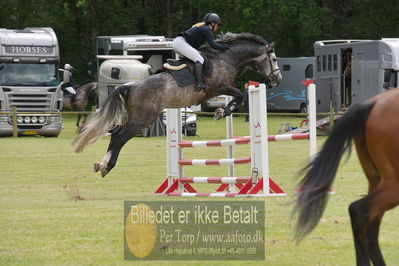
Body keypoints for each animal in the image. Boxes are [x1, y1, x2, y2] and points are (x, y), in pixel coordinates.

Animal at [74, 33, 282, 179]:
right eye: (273, 59)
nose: (277, 80)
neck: (226, 58)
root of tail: (131, 86)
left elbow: (237, 97)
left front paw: (221, 110)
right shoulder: (219, 87)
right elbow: (239, 96)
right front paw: (223, 111)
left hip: (135, 116)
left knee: (115, 133)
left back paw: (101, 165)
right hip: (143, 118)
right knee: (120, 136)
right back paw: (106, 167)